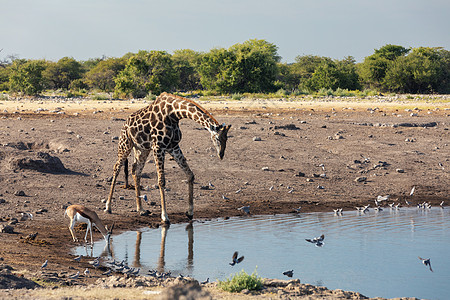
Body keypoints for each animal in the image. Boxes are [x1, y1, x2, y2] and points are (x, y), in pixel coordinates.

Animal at [104, 92, 232, 224]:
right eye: (217, 138)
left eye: (227, 138)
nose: (221, 154)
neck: (174, 114)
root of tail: (125, 124)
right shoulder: (158, 147)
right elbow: (161, 181)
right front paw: (165, 216)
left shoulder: (173, 146)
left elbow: (190, 174)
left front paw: (190, 212)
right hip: (125, 144)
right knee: (117, 168)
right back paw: (108, 207)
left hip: (142, 149)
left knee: (136, 171)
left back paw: (141, 209)